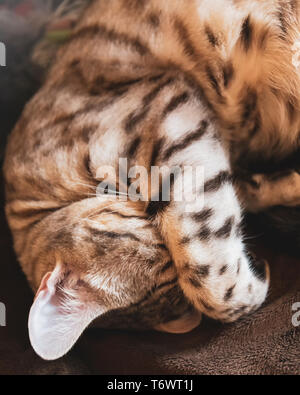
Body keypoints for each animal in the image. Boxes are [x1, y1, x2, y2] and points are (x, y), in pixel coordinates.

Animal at [4, 0, 300, 362]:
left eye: (163, 257)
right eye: (161, 271)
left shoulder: (166, 114)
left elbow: (208, 279)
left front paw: (253, 287)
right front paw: (283, 186)